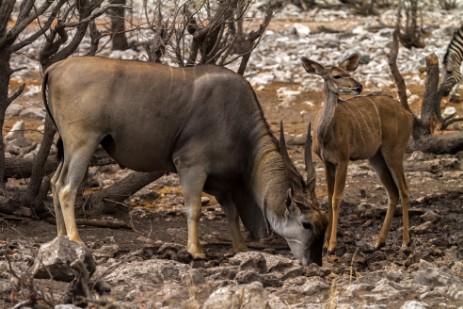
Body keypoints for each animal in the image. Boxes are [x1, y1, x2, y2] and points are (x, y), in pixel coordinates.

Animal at [41, 55, 328, 264]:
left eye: (324, 225)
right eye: (307, 224)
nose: (315, 262)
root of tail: (54, 68)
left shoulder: (224, 183)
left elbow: (232, 215)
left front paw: (241, 249)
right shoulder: (191, 166)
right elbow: (194, 208)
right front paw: (196, 251)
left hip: (68, 148)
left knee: (54, 182)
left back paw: (60, 239)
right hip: (83, 143)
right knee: (67, 187)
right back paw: (76, 240)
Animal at [302, 53, 416, 253]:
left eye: (348, 72)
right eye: (336, 76)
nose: (358, 86)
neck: (325, 135)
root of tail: (408, 115)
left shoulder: (343, 159)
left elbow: (336, 198)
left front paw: (332, 245)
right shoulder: (327, 163)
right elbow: (329, 198)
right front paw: (325, 244)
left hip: (394, 151)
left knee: (404, 189)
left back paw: (404, 243)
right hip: (376, 158)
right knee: (392, 192)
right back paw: (378, 242)